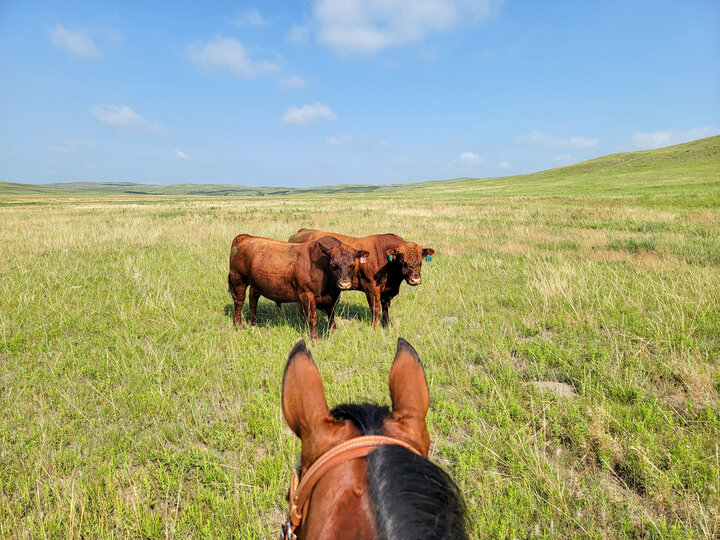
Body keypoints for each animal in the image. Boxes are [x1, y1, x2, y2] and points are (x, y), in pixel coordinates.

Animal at [228, 234, 368, 340]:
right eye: (333, 265)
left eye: (352, 265)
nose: (344, 284)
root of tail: (244, 237)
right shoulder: (308, 295)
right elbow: (313, 318)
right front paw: (314, 339)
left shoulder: (333, 297)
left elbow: (331, 316)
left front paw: (334, 331)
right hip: (238, 280)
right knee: (239, 302)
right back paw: (238, 324)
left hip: (255, 284)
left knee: (253, 300)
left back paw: (254, 323)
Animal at [286, 228, 434, 324]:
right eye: (402, 260)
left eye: (420, 261)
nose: (415, 280)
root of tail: (302, 231)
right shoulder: (371, 287)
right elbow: (376, 308)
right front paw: (376, 327)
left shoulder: (387, 290)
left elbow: (386, 307)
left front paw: (387, 324)